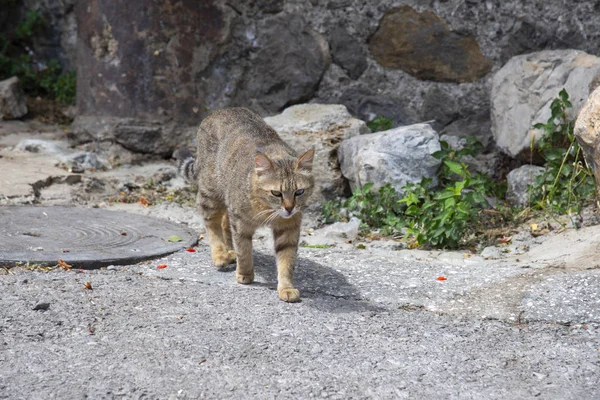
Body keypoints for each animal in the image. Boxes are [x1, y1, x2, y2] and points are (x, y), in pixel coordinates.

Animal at [172, 108, 314, 302]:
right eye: (276, 193)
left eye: (299, 192)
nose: (289, 208)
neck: (266, 209)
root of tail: (220, 110)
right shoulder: (240, 223)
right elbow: (244, 251)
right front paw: (244, 274)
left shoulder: (289, 227)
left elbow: (286, 260)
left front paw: (286, 287)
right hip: (211, 194)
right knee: (211, 223)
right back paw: (221, 254)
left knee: (224, 223)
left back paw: (229, 250)